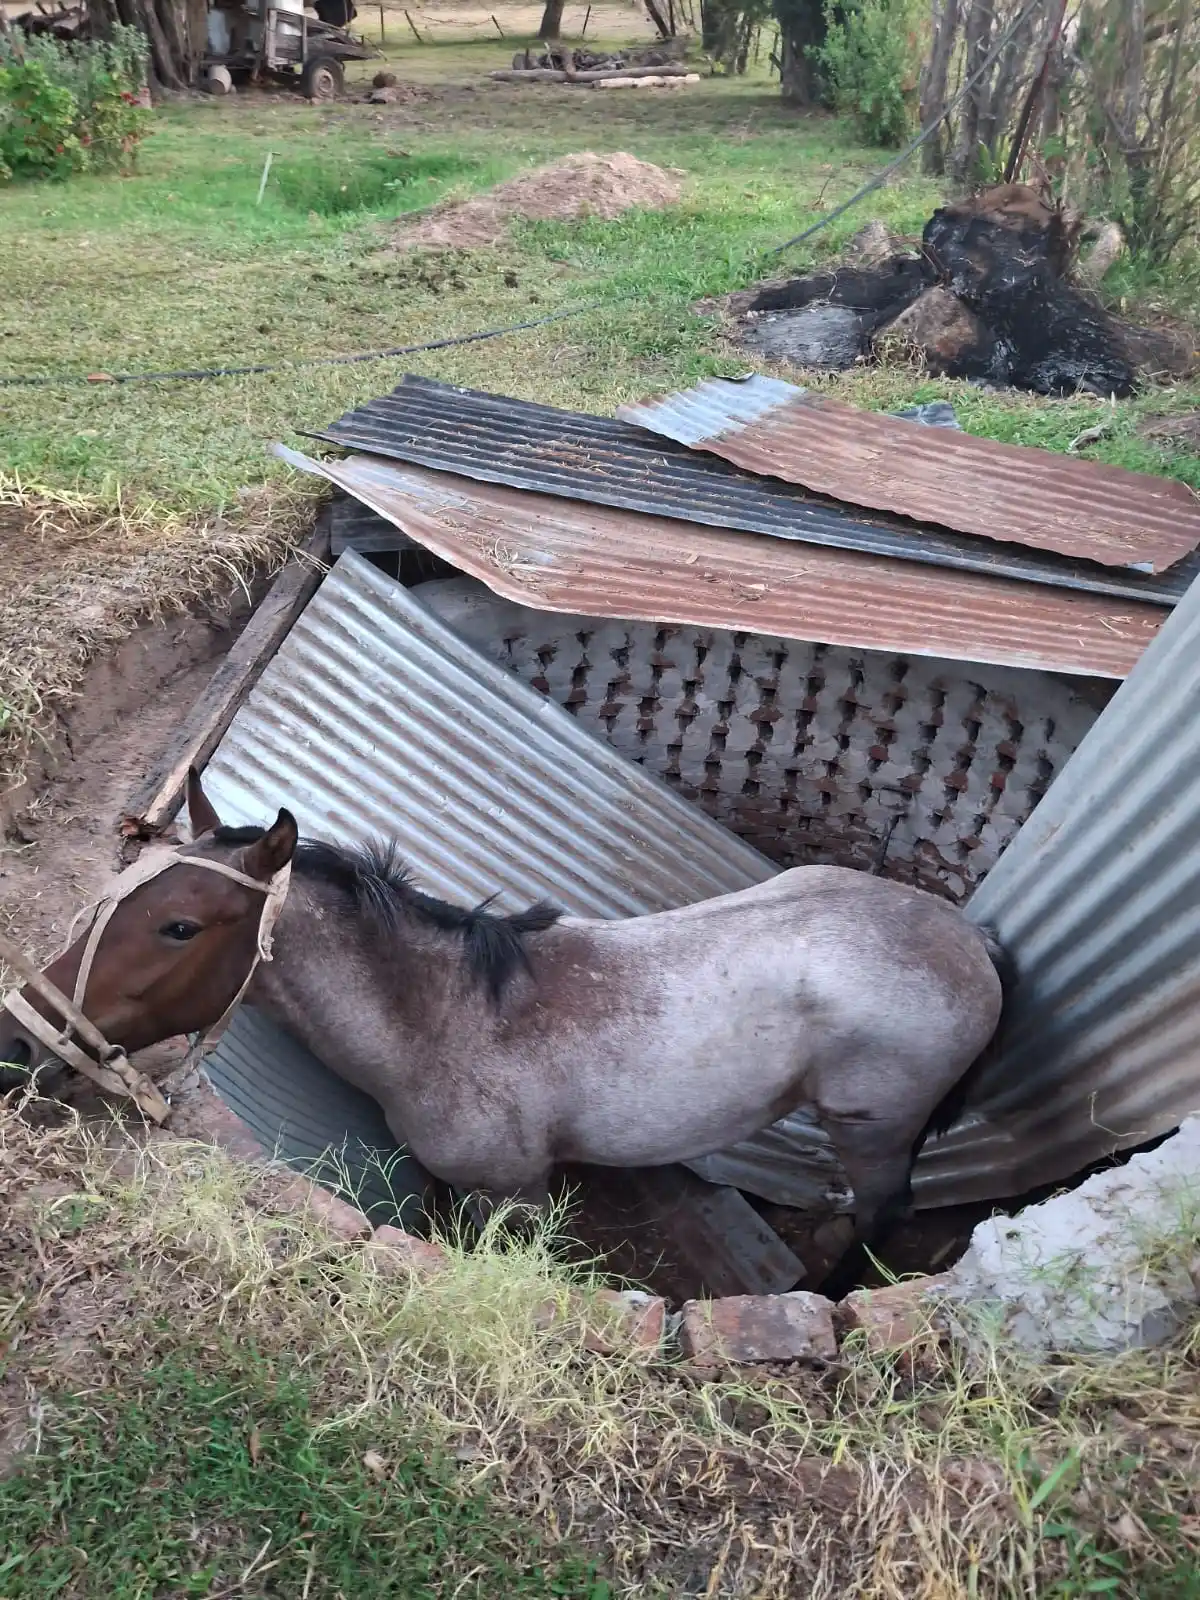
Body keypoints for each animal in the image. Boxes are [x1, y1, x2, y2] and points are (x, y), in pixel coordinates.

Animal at [0, 769, 1008, 1295]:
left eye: (178, 926)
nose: (19, 1042)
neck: (443, 1018)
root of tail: (974, 946)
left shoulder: (516, 1192)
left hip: (875, 1127)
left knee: (883, 1213)